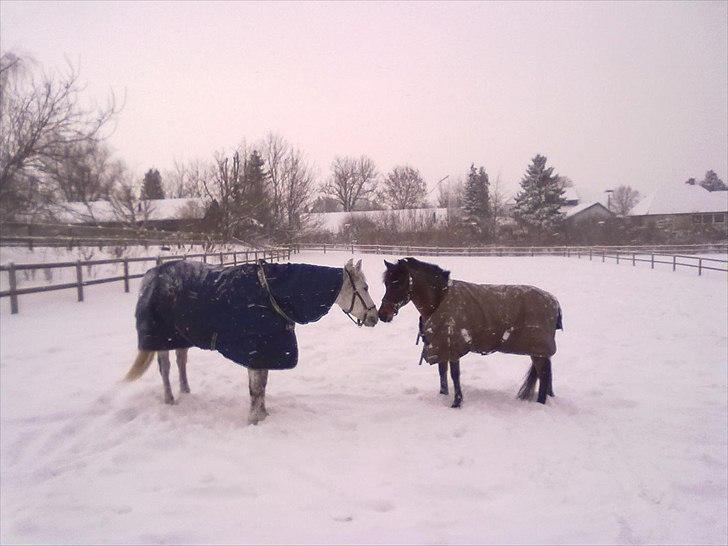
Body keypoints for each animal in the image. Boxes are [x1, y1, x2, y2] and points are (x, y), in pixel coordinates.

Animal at [124, 258, 378, 423]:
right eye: (364, 287)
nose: (374, 317)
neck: (272, 294)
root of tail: (150, 275)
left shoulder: (265, 352)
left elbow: (261, 387)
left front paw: (263, 415)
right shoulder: (257, 351)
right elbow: (256, 388)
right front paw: (254, 419)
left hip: (179, 336)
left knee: (181, 361)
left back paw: (186, 391)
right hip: (161, 337)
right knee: (165, 368)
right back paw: (170, 400)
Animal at [377, 257, 562, 408]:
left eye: (398, 283)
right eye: (386, 283)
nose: (382, 315)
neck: (440, 300)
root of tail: (554, 301)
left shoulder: (453, 347)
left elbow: (454, 375)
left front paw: (456, 402)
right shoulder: (440, 345)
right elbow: (442, 373)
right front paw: (443, 396)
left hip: (538, 349)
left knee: (544, 374)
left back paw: (541, 404)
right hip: (539, 351)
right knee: (547, 373)